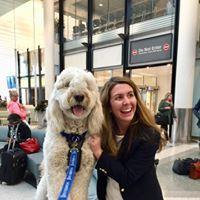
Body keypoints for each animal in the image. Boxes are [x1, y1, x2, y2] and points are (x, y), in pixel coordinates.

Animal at [35, 68, 103, 199]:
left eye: (87, 85)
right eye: (67, 84)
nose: (79, 95)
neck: (74, 135)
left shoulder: (84, 171)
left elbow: (78, 193)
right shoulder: (56, 167)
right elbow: (56, 191)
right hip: (43, 188)